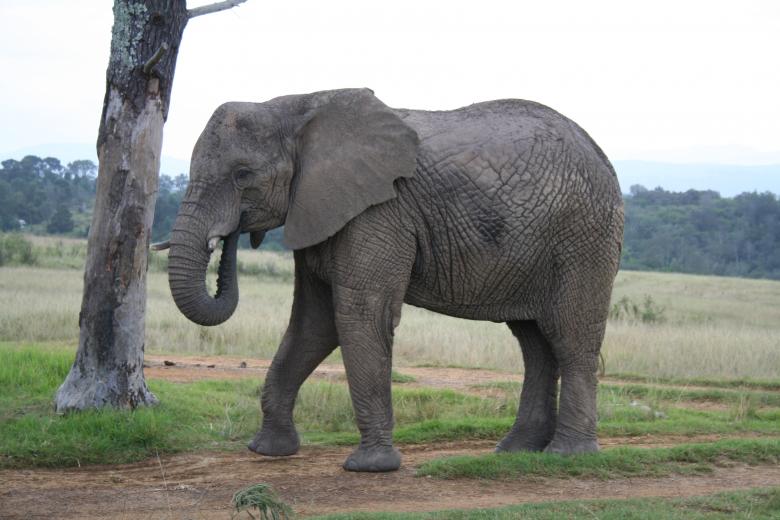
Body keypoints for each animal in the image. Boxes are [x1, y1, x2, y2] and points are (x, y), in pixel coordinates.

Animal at [160, 88, 624, 472]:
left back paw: (568, 455)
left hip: (584, 236)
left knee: (570, 335)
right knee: (534, 343)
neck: (297, 106)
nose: (230, 237)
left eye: (242, 175)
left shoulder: (379, 211)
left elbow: (359, 316)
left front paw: (370, 467)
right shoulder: (320, 208)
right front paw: (268, 451)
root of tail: (601, 154)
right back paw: (516, 451)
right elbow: (313, 324)